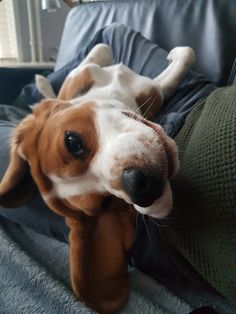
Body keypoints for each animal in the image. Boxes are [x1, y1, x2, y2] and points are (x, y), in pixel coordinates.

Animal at [0, 44, 195, 314]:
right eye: (105, 203)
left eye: (73, 142)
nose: (139, 188)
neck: (116, 90)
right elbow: (184, 57)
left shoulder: (147, 90)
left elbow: (99, 52)